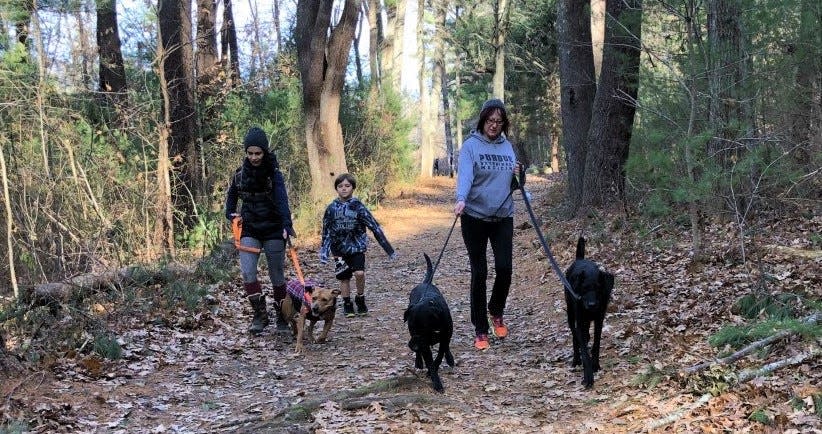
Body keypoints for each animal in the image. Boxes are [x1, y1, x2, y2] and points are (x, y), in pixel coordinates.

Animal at [406, 253, 458, 392]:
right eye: (411, 326)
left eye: (423, 327)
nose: (411, 346)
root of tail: (425, 283)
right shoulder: (423, 344)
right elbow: (429, 361)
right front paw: (436, 382)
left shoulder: (444, 336)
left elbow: (440, 354)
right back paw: (419, 362)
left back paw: (449, 358)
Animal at [568, 236, 616, 388]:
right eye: (584, 289)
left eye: (598, 288)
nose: (591, 305)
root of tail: (579, 259)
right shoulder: (579, 320)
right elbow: (584, 349)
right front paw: (588, 376)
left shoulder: (599, 320)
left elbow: (596, 344)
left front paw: (596, 365)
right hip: (570, 314)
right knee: (575, 336)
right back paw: (576, 360)